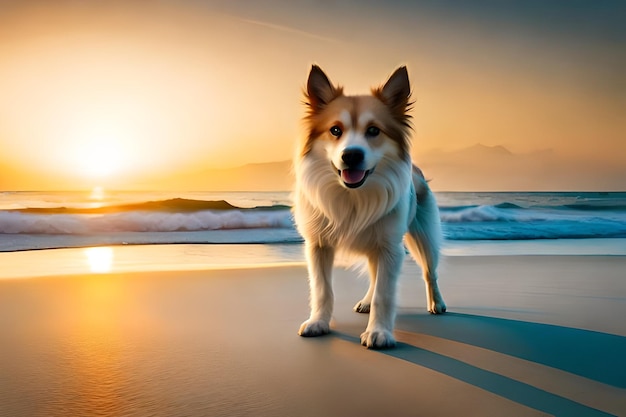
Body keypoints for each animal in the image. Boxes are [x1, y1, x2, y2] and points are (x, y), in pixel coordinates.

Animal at [292, 65, 444, 350]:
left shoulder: (389, 247)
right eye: (335, 130)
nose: (351, 155)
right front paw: (318, 322)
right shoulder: (318, 245)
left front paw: (379, 332)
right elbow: (322, 288)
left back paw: (437, 303)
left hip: (424, 237)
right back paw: (365, 301)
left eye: (374, 131)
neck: (354, 195)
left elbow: (384, 294)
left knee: (430, 272)